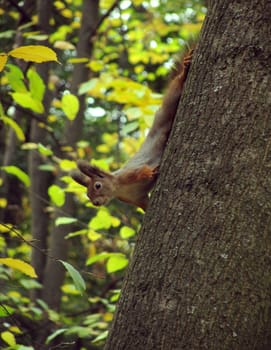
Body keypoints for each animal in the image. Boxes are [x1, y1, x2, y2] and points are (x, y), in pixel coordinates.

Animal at [71, 50, 194, 211]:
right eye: (88, 194)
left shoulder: (128, 175)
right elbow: (145, 205)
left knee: (177, 87)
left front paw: (148, 173)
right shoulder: (137, 199)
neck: (119, 188)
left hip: (168, 107)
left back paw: (185, 70)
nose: (96, 203)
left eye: (98, 185)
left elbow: (140, 172)